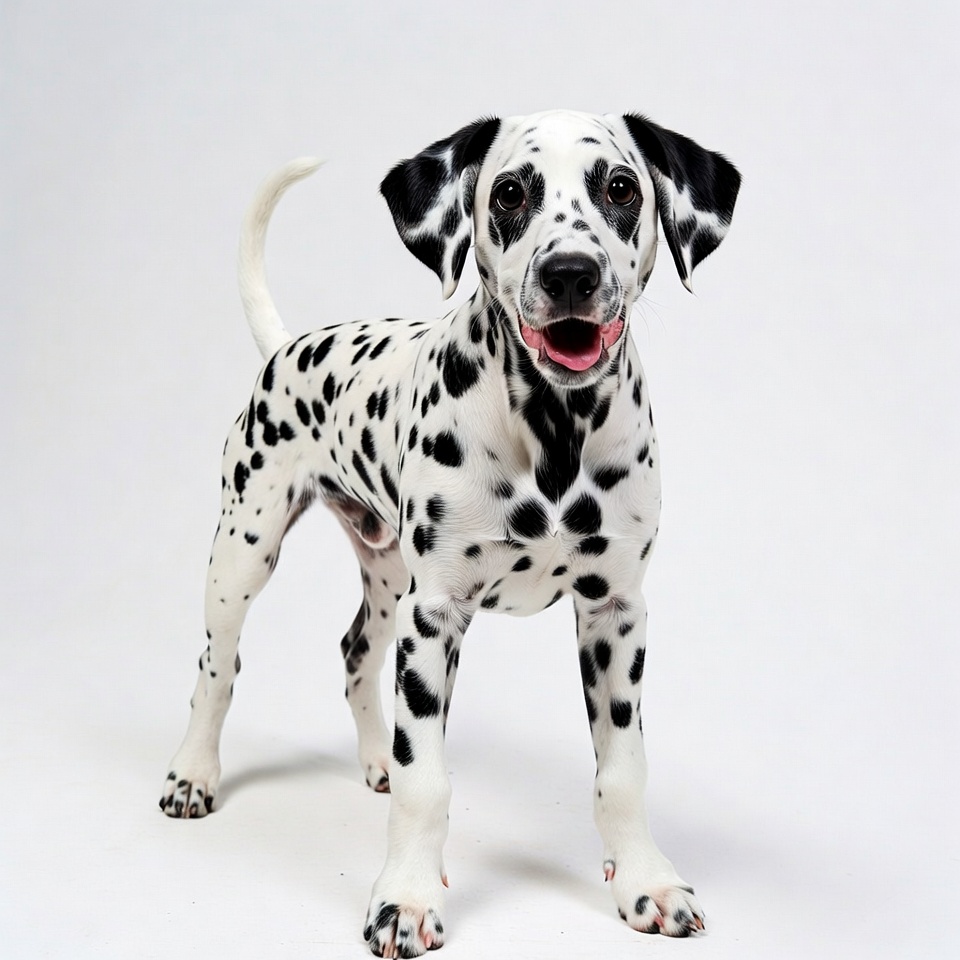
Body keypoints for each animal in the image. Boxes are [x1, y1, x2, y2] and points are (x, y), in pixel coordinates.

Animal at [160, 110, 740, 956]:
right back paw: (193, 773)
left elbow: (622, 770)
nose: (570, 273)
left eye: (621, 188)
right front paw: (403, 898)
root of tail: (287, 346)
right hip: (245, 550)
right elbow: (427, 782)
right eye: (510, 193)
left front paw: (645, 881)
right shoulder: (436, 619)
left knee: (356, 653)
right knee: (218, 665)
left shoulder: (615, 615)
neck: (553, 433)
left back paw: (376, 757)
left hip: (386, 579)